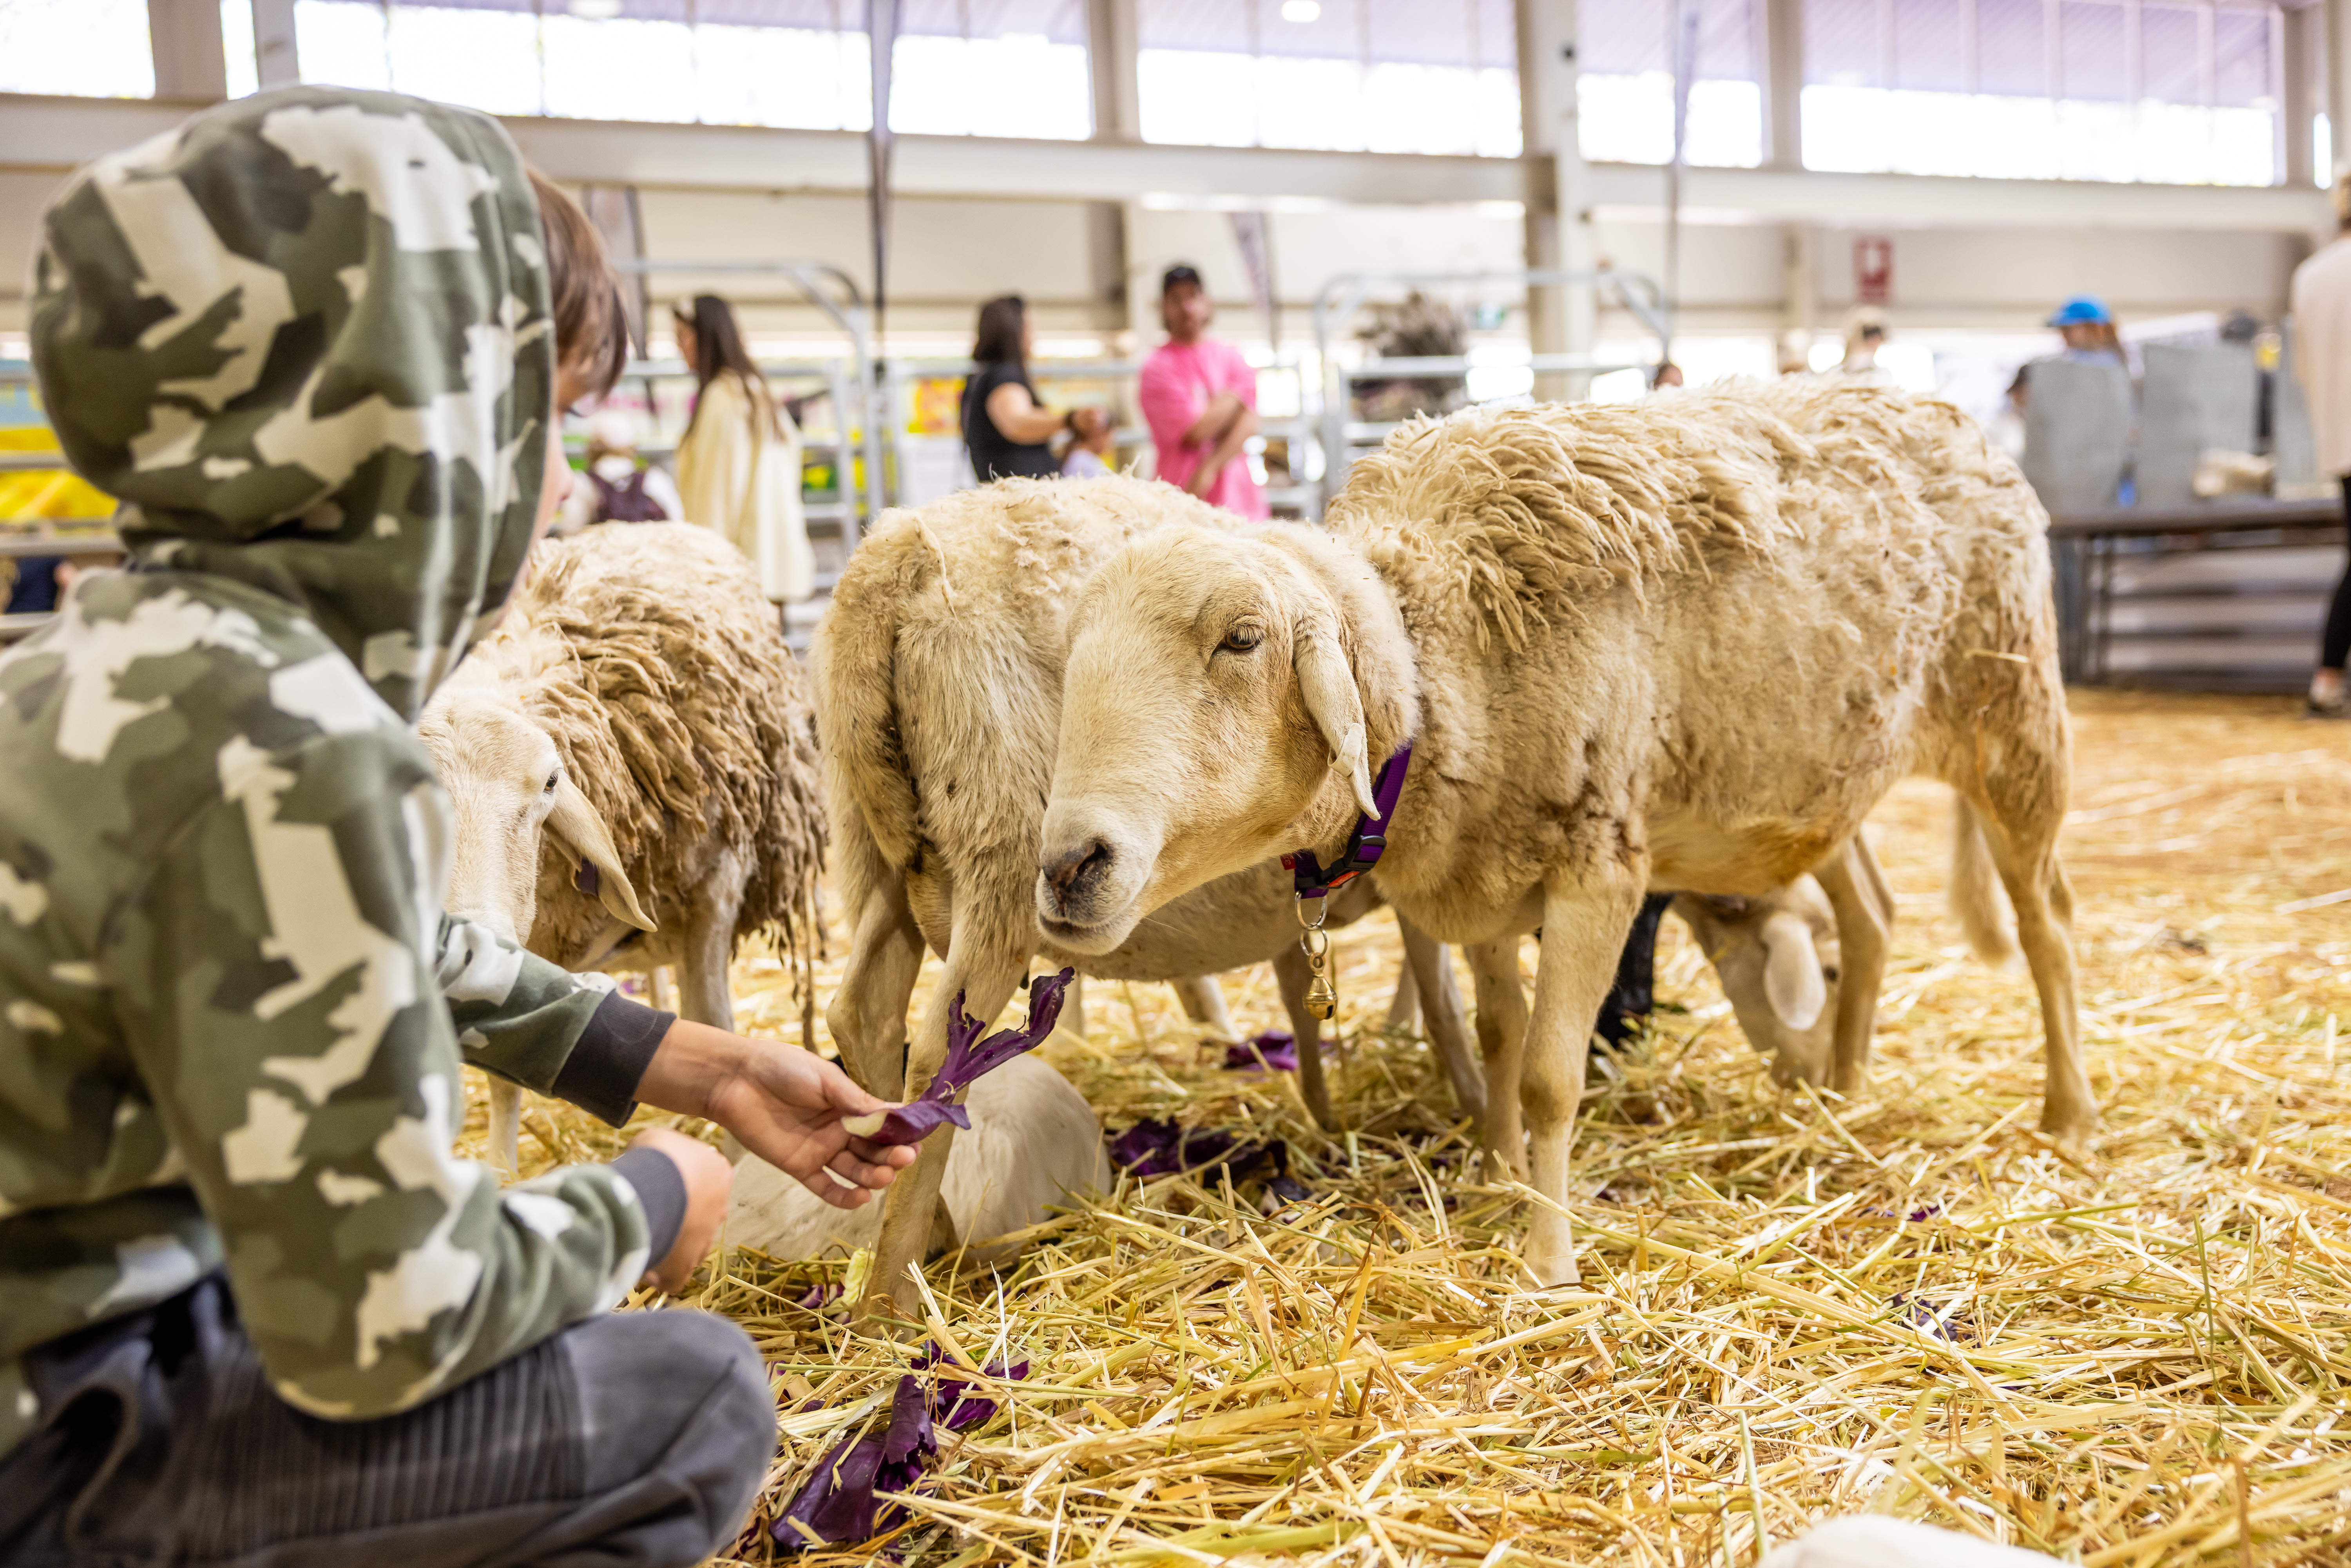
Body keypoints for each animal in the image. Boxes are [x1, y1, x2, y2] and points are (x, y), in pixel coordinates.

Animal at [419, 522, 826, 1168]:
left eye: (551, 782)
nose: (471, 941)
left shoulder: (713, 897)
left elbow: (715, 1023)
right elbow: (508, 1072)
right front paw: (503, 1168)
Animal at [817, 473, 1482, 1316]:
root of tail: (886, 569)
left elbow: (1308, 994)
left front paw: (1326, 1111)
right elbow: (1439, 991)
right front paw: (1472, 1102)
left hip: (879, 846)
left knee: (862, 1012)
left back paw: (920, 1224)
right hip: (1000, 846)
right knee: (941, 1053)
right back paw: (892, 1300)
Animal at [1034, 380, 2090, 1288]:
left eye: (1243, 639)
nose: (1069, 865)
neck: (1444, 655)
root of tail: (1947, 414)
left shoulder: (1599, 871)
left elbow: (1549, 1074)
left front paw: (1548, 1261)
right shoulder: (1485, 875)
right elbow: (1498, 1035)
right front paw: (1495, 1174)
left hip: (2015, 720)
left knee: (2048, 924)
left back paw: (2068, 1114)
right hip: (1828, 774)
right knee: (1872, 913)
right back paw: (1840, 1089)